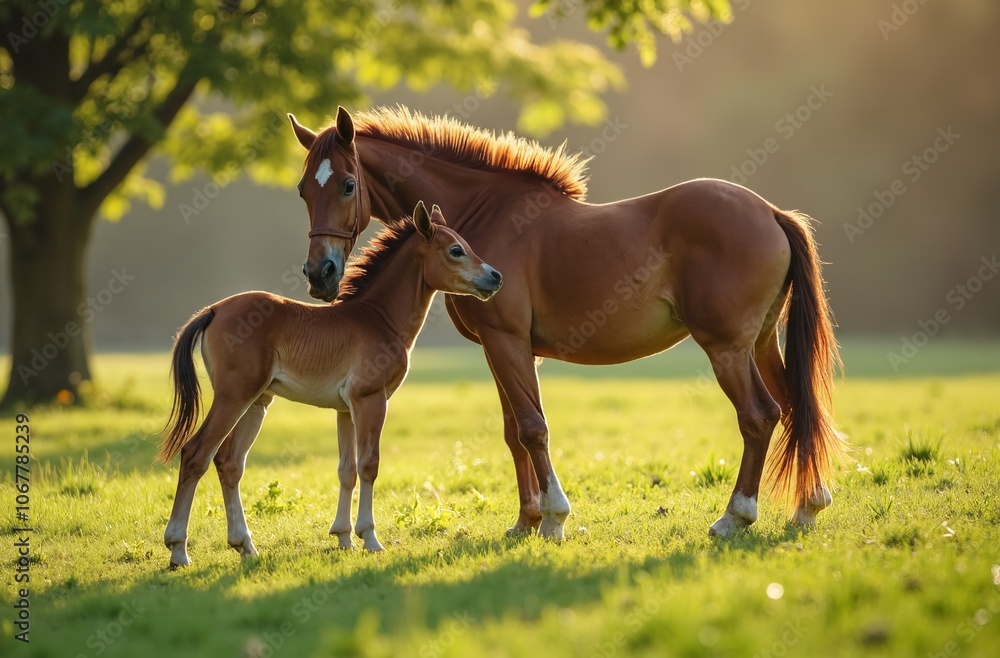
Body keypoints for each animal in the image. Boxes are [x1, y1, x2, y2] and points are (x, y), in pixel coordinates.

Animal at [159, 202, 503, 568]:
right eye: (456, 250)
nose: (495, 277)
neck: (378, 319)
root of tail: (212, 309)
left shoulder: (345, 410)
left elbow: (346, 469)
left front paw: (343, 537)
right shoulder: (371, 400)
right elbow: (369, 465)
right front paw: (370, 538)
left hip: (257, 403)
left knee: (230, 463)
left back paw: (246, 545)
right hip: (234, 396)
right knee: (196, 454)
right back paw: (179, 549)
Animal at [287, 106, 848, 541]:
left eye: (348, 184)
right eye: (302, 190)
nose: (320, 274)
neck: (487, 215)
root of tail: (770, 212)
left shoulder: (508, 342)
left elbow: (533, 428)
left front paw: (554, 518)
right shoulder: (503, 348)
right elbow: (514, 432)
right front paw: (526, 521)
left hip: (727, 347)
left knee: (759, 415)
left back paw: (735, 517)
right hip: (761, 343)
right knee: (796, 405)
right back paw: (807, 507)